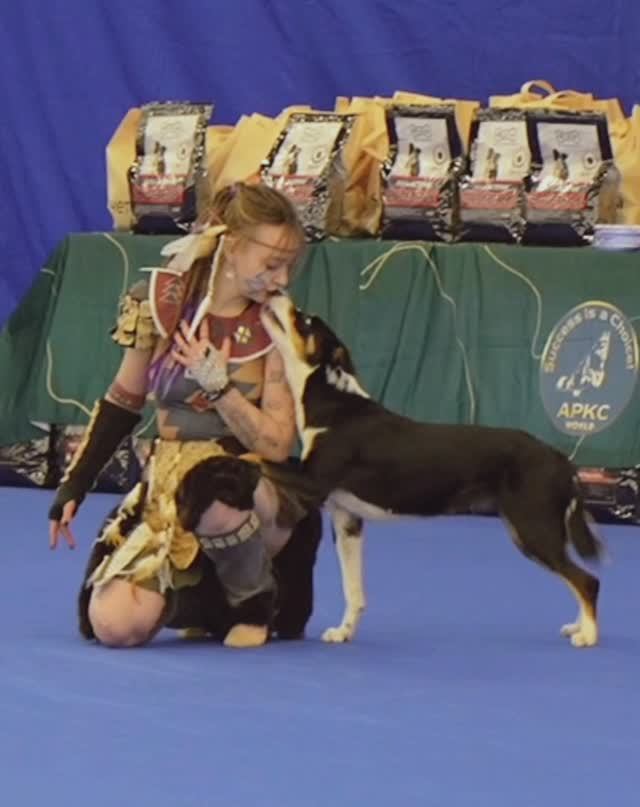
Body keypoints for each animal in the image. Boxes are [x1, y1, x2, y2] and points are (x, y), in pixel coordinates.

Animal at [261, 293, 604, 648]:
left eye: (306, 320)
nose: (275, 292)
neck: (334, 407)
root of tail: (560, 458)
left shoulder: (310, 481)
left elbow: (255, 458)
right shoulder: (347, 519)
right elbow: (353, 590)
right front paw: (344, 632)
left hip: (534, 528)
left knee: (587, 581)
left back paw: (588, 635)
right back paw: (577, 627)